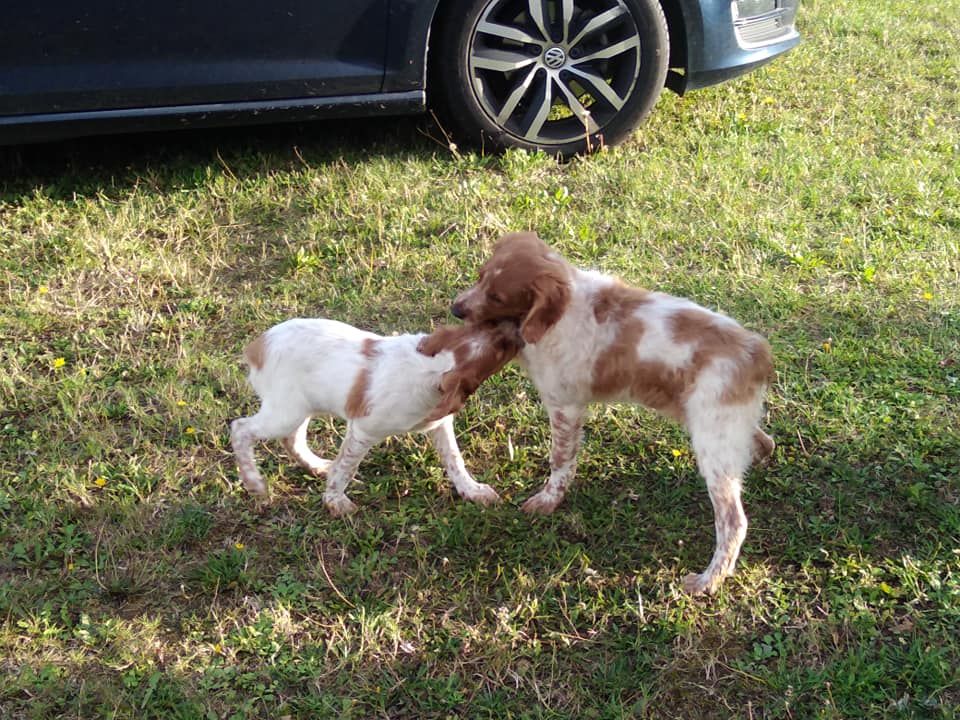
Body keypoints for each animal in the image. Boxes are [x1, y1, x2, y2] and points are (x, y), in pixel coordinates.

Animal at [229, 318, 520, 516]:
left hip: (301, 408)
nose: (518, 325)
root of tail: (257, 346)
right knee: (240, 428)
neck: (432, 368)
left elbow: (454, 459)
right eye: (501, 349)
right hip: (284, 413)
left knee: (292, 440)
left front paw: (472, 490)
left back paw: (316, 465)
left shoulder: (440, 425)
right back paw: (254, 483)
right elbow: (346, 467)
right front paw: (336, 502)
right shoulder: (363, 430)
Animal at [454, 232, 776, 596]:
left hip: (713, 442)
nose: (456, 309)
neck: (560, 314)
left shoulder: (565, 407)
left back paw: (708, 580)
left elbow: (561, 460)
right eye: (479, 276)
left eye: (497, 296)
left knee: (733, 521)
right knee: (763, 443)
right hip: (715, 423)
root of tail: (757, 352)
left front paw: (547, 501)